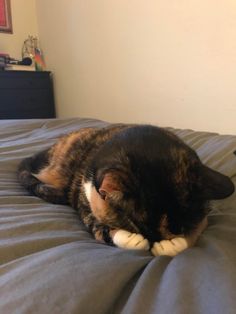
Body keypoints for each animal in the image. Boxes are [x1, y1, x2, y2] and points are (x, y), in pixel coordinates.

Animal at [18, 124, 234, 256]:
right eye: (135, 225)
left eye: (179, 229)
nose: (152, 242)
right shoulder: (85, 201)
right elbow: (98, 227)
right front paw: (132, 240)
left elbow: (198, 228)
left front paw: (172, 245)